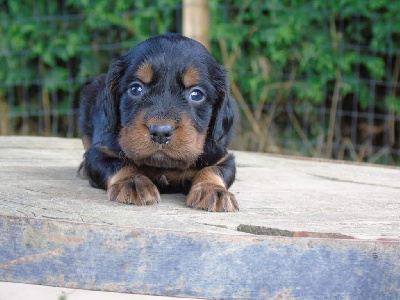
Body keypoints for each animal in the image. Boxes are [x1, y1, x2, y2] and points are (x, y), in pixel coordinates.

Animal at [78, 32, 238, 211]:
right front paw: (133, 182)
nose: (160, 133)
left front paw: (213, 189)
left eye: (196, 94)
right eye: (135, 89)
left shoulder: (223, 157)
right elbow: (119, 164)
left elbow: (213, 170)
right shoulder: (99, 152)